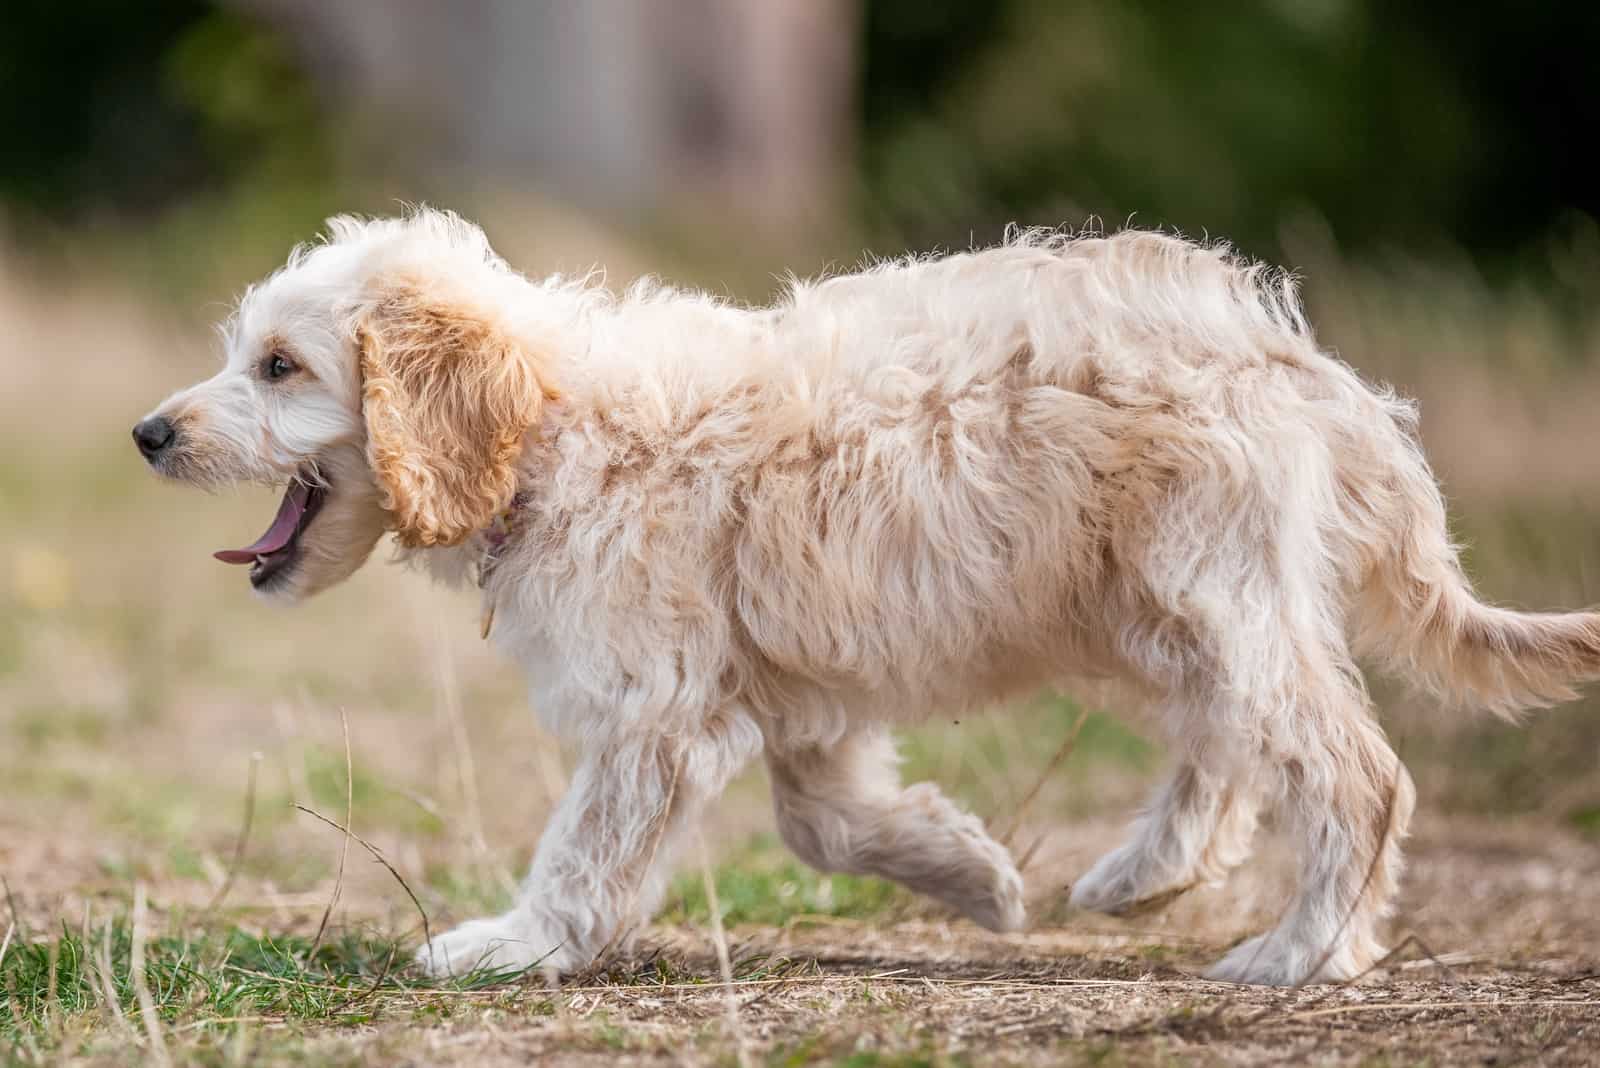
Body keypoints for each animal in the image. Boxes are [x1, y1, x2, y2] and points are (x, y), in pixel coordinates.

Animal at [134, 207, 1600, 984]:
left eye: (277, 366)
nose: (149, 434)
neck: (552, 424)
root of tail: (1298, 363)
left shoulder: (658, 712)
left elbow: (590, 848)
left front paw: (516, 941)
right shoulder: (790, 703)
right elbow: (827, 822)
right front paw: (975, 876)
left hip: (1206, 590)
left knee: (1349, 770)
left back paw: (1301, 953)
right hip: (1164, 607)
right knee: (1233, 749)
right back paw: (1145, 875)